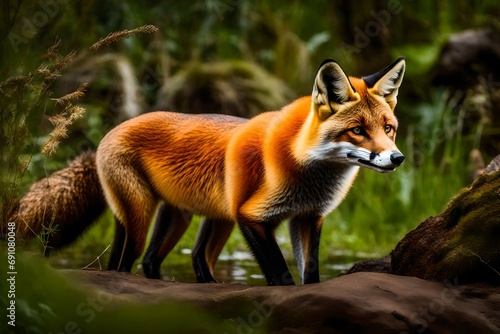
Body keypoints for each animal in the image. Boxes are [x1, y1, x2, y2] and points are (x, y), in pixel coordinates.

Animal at [96, 56, 406, 284]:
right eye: (357, 130)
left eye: (388, 128)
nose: (397, 158)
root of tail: (113, 130)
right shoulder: (252, 216)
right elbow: (281, 276)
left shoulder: (308, 217)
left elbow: (311, 276)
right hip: (144, 219)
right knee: (127, 264)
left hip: (199, 216)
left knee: (178, 259)